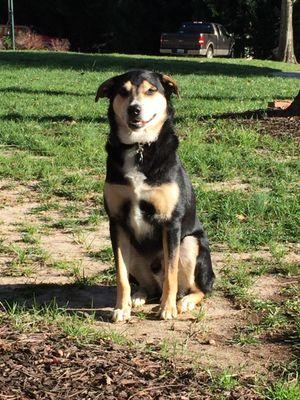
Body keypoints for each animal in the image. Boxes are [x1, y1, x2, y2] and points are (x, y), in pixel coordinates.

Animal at [95, 69, 214, 322]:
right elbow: (121, 275)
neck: (139, 146)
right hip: (134, 252)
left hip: (190, 244)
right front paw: (121, 308)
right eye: (123, 91)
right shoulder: (116, 223)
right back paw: (138, 296)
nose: (134, 109)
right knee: (148, 286)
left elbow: (171, 273)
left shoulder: (171, 223)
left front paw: (167, 309)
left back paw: (184, 301)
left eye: (151, 90)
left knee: (198, 287)